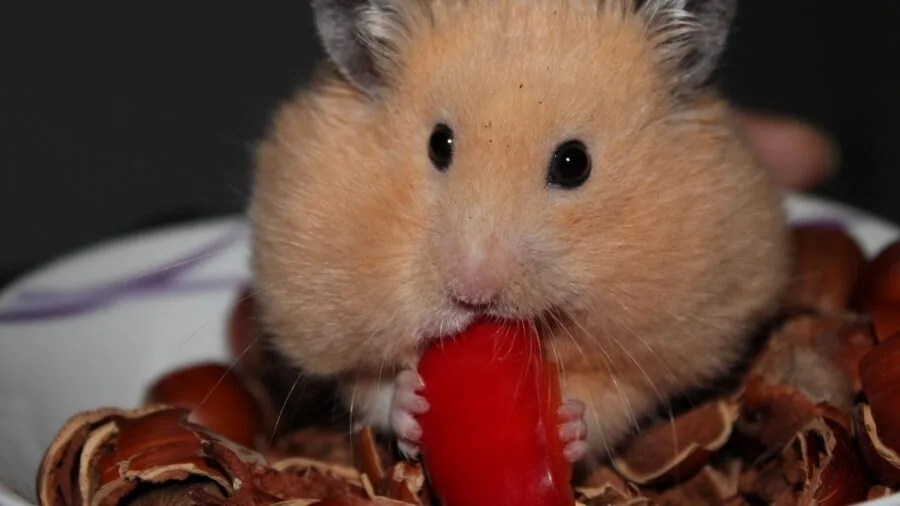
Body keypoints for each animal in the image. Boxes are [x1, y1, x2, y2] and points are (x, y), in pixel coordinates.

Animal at [248, 0, 790, 466]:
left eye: (574, 163)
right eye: (438, 144)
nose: (472, 294)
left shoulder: (661, 346)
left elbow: (613, 397)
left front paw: (570, 426)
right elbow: (369, 385)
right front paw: (411, 402)